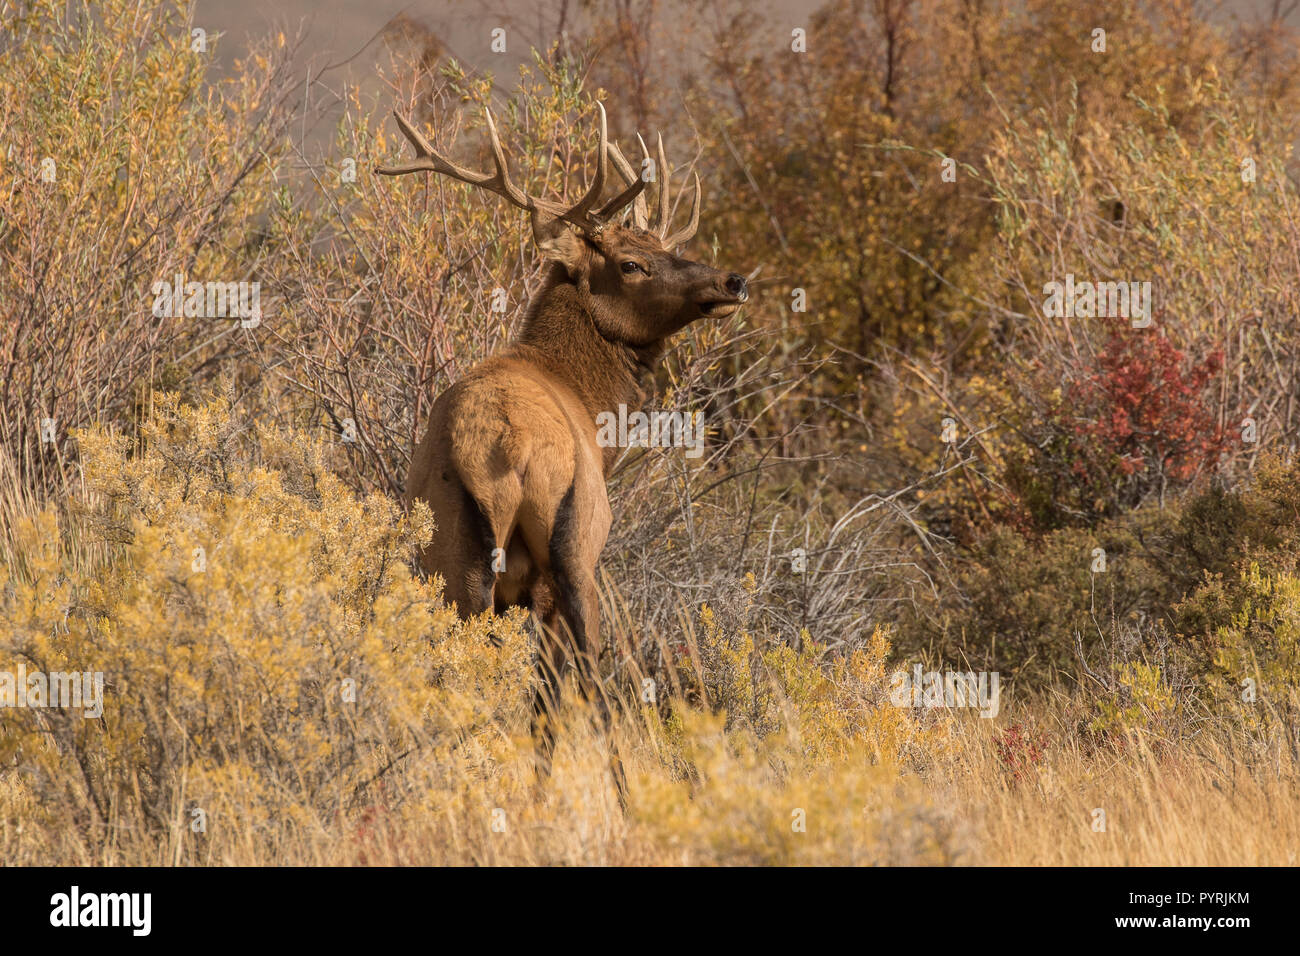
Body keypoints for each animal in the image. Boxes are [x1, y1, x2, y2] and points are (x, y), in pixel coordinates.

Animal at [377, 104, 748, 809]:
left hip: (451, 558)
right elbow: (559, 698)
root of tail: (503, 443)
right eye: (630, 264)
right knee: (589, 688)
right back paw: (624, 800)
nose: (733, 279)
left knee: (458, 676)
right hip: (571, 551)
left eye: (666, 248)